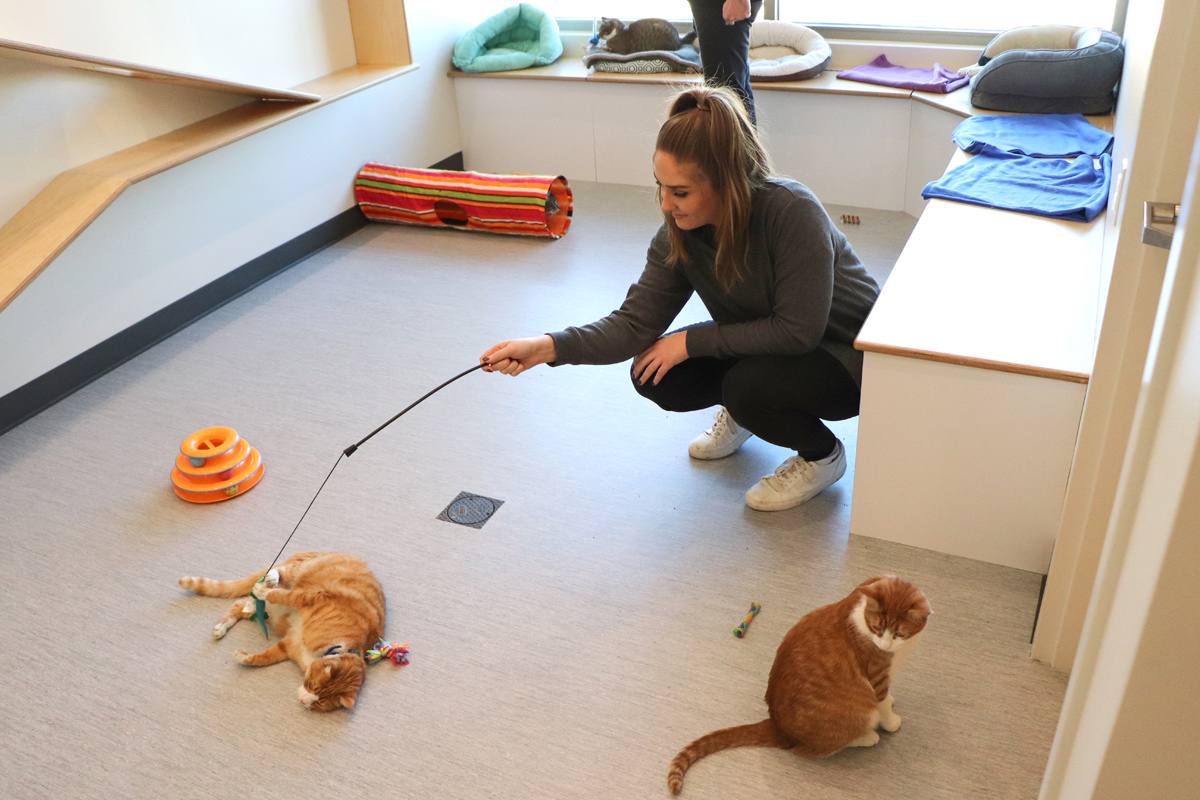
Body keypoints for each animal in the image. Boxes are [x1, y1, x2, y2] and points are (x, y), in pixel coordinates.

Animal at [176, 551, 384, 714]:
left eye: (319, 702)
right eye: (312, 686)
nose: (304, 701)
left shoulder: (288, 646)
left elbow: (264, 658)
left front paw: (244, 657)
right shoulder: (308, 599)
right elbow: (282, 595)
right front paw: (265, 591)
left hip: (268, 612)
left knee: (242, 604)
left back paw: (228, 622)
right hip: (299, 570)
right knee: (279, 575)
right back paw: (268, 581)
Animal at [667, 575, 926, 796]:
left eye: (899, 633)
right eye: (877, 629)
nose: (884, 645)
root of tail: (777, 727)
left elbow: (888, 698)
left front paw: (892, 703)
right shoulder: (877, 679)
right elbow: (882, 705)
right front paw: (890, 722)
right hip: (858, 712)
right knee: (813, 749)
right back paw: (867, 737)